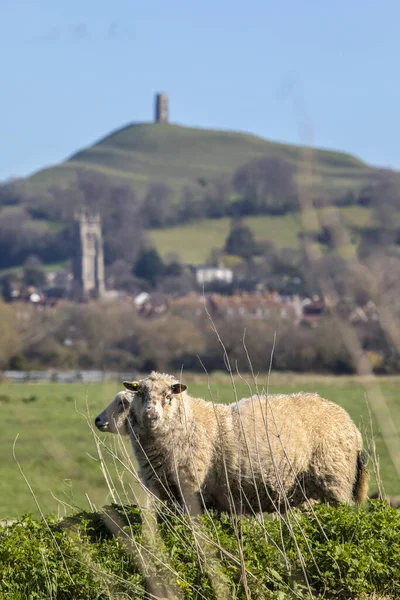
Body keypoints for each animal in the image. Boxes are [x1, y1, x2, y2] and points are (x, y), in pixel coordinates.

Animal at [96, 370, 368, 516]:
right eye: (140, 394)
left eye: (168, 395)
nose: (151, 415)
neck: (189, 422)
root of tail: (353, 428)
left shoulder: (190, 488)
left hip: (335, 482)